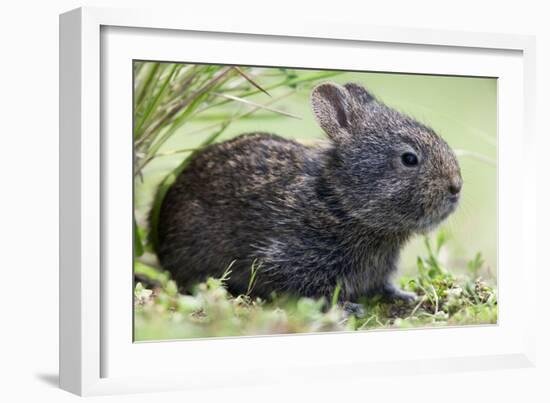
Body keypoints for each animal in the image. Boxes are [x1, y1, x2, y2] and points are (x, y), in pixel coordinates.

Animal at [157, 82, 464, 314]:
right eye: (409, 159)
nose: (456, 187)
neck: (341, 202)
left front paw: (404, 296)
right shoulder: (291, 259)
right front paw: (347, 308)